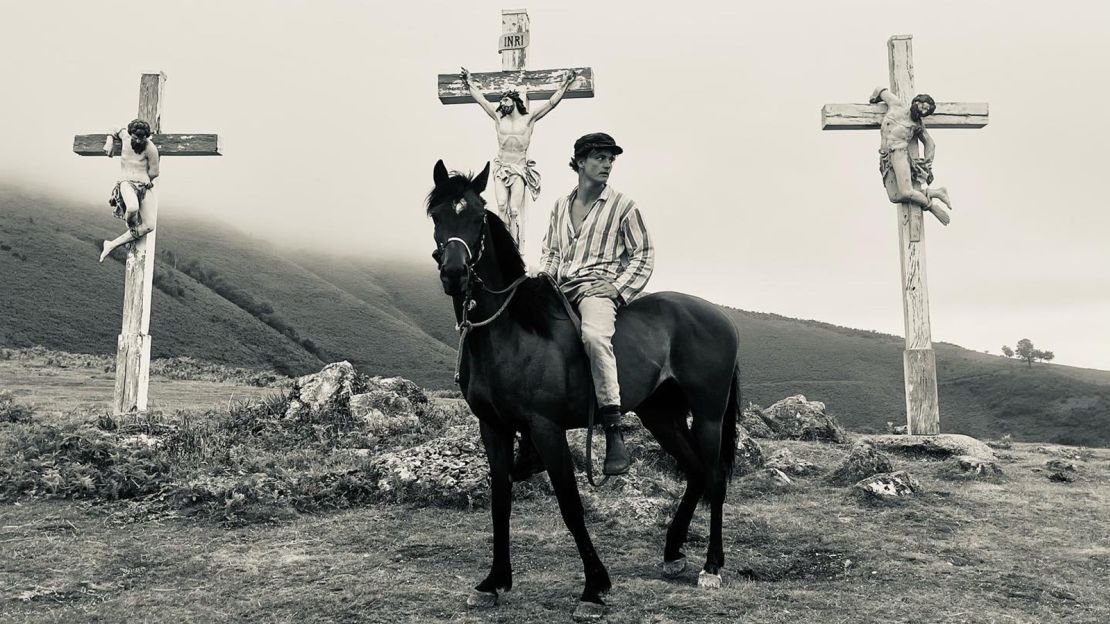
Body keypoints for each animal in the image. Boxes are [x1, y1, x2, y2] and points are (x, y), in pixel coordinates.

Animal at [428, 159, 741, 617]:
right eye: (436, 215)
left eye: (478, 216)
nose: (454, 274)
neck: (509, 331)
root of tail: (721, 316)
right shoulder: (493, 428)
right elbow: (500, 501)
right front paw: (494, 581)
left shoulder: (545, 429)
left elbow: (571, 506)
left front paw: (595, 586)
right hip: (660, 415)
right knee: (697, 472)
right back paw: (672, 553)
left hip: (708, 415)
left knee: (714, 477)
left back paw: (712, 566)